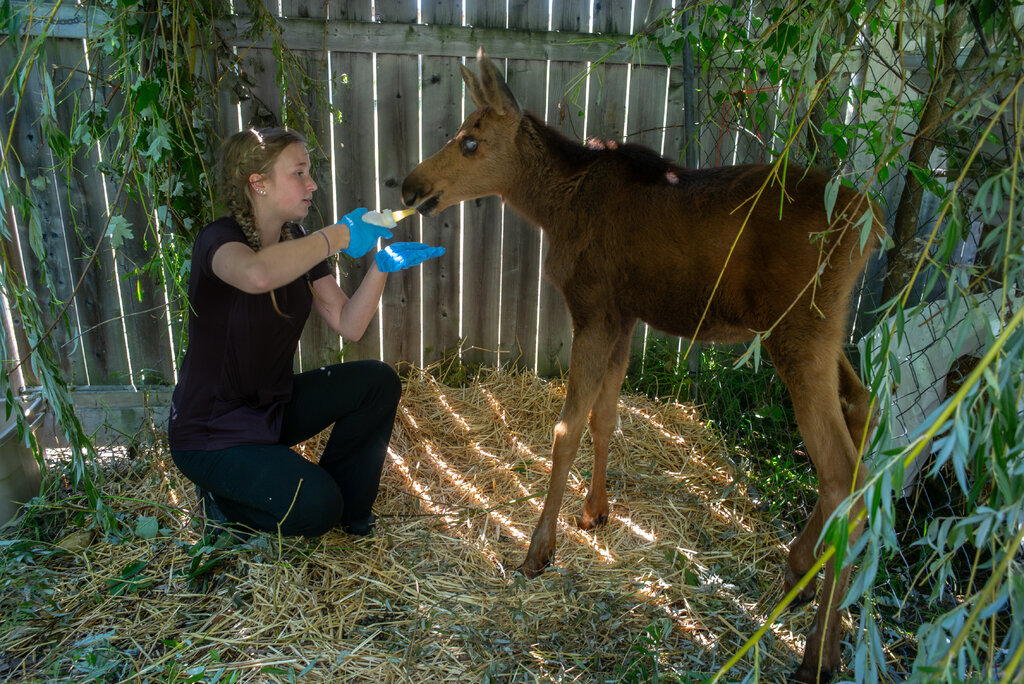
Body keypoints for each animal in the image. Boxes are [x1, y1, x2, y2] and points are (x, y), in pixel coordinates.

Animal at [401, 48, 884, 683]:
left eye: (471, 142)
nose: (409, 185)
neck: (554, 204)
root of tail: (871, 223)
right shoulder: (624, 317)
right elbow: (605, 418)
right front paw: (594, 513)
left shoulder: (593, 310)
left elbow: (566, 429)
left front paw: (538, 549)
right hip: (823, 334)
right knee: (864, 409)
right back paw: (802, 576)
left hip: (798, 334)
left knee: (841, 474)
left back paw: (817, 654)